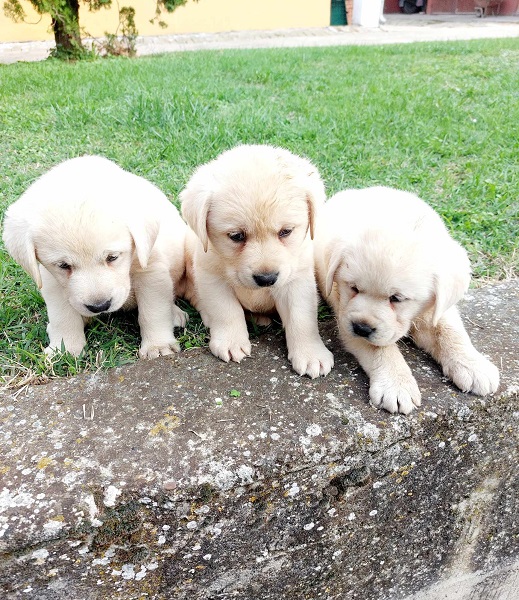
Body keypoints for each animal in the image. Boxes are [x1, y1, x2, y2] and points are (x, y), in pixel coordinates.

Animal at [2, 157, 189, 358]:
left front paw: (158, 346)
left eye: (112, 257)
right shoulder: (52, 281)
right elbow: (62, 315)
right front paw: (65, 348)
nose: (99, 306)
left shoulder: (151, 271)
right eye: (63, 265)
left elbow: (154, 311)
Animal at [180, 145, 334, 378]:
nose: (266, 278)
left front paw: (310, 354)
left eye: (286, 231)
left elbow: (301, 318)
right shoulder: (211, 276)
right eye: (236, 236)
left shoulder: (297, 280)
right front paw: (231, 341)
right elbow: (226, 310)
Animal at [314, 188, 502, 412]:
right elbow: (380, 348)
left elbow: (450, 332)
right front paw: (396, 385)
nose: (361, 328)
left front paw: (473, 365)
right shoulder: (343, 314)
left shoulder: (437, 308)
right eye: (353, 288)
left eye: (397, 298)